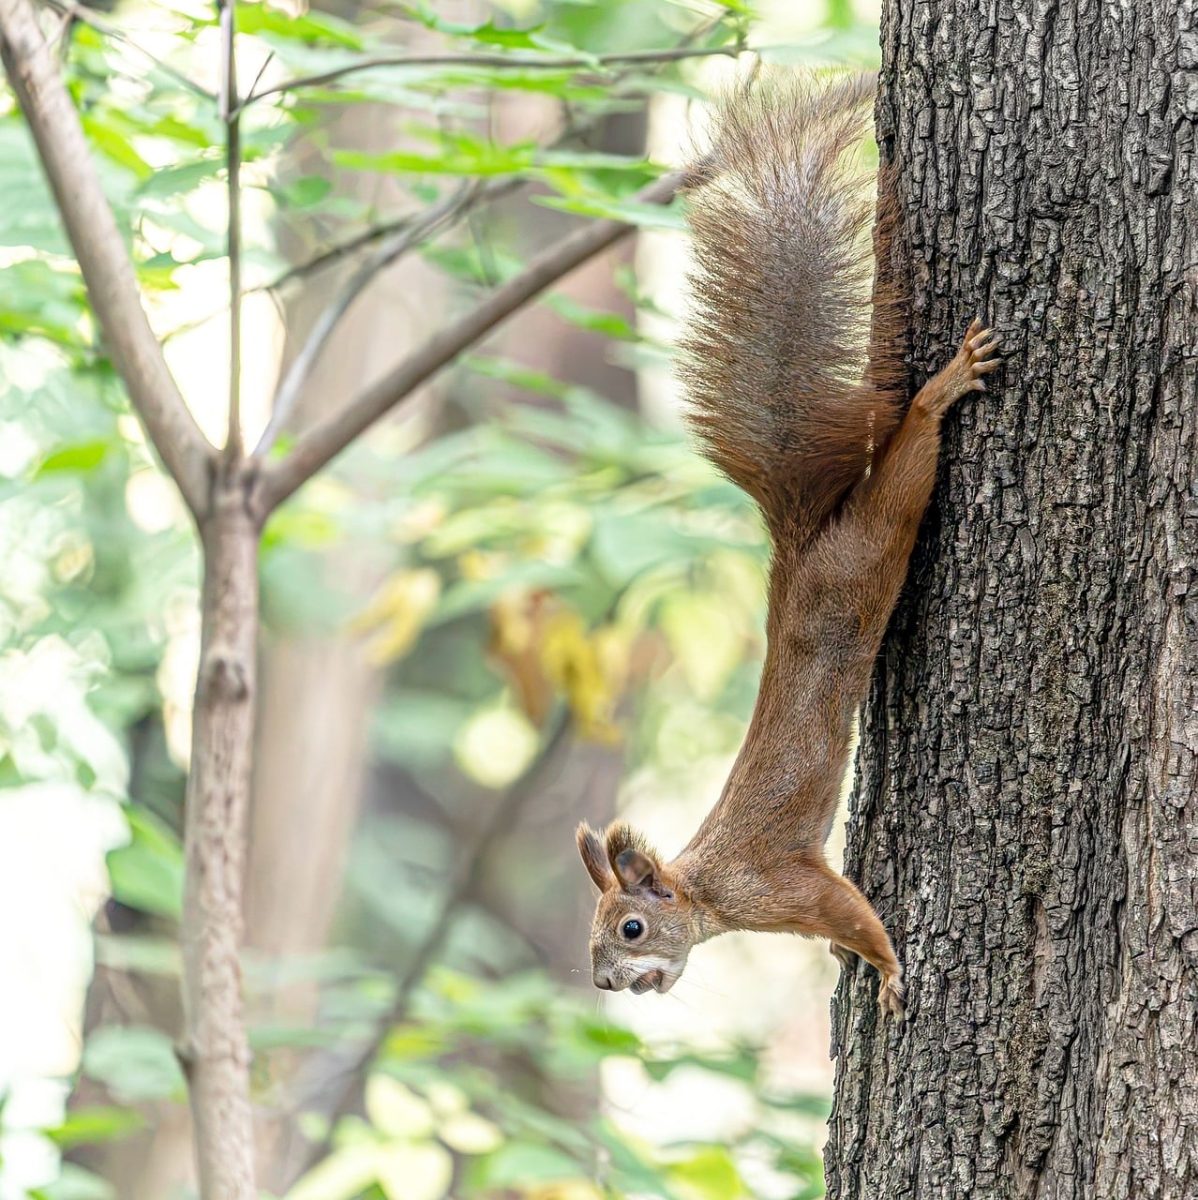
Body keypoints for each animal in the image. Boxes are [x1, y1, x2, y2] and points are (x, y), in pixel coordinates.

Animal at [576, 73, 1001, 1016]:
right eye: (596, 939)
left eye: (631, 929)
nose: (609, 984)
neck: (709, 893)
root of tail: (801, 547)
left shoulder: (781, 884)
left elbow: (853, 912)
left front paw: (888, 969)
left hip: (873, 543)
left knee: (908, 462)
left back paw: (943, 388)